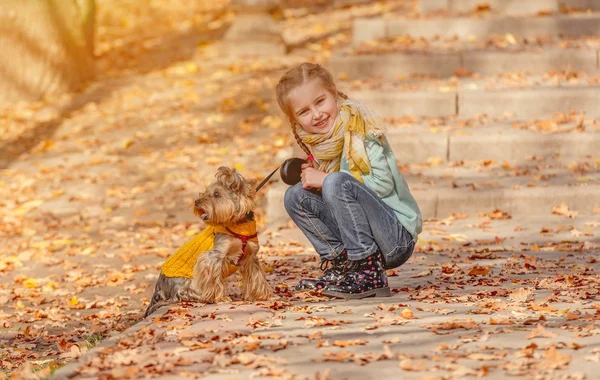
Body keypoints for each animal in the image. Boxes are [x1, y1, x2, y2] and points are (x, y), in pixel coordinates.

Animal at [145, 166, 274, 318]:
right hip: (187, 282)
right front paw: (220, 298)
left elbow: (257, 276)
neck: (236, 225)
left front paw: (263, 296)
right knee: (185, 293)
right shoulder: (214, 257)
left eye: (217, 194)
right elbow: (215, 279)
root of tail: (158, 287)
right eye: (207, 192)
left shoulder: (250, 257)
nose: (196, 202)